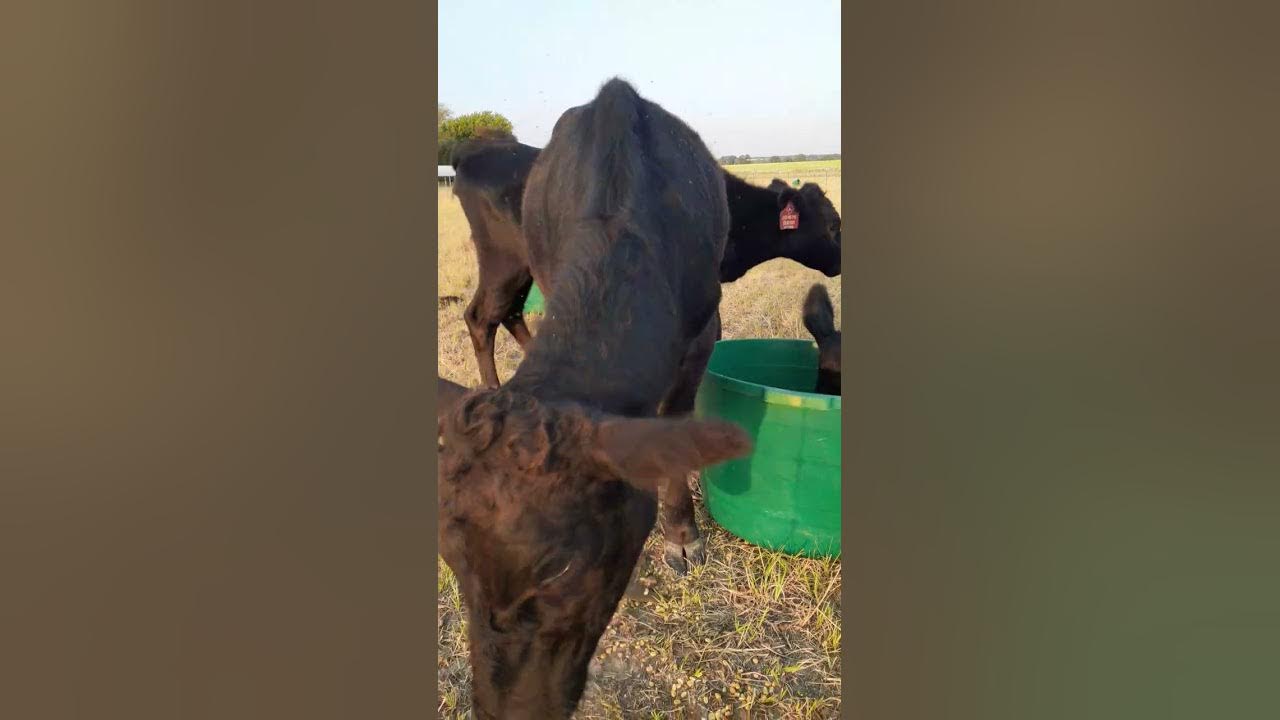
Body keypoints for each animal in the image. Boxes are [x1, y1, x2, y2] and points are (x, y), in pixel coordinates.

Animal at [437, 79, 754, 720]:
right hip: (504, 258)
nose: (510, 709)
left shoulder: (704, 329)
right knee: (485, 315)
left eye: (561, 568)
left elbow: (675, 420)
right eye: (453, 562)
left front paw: (682, 535)